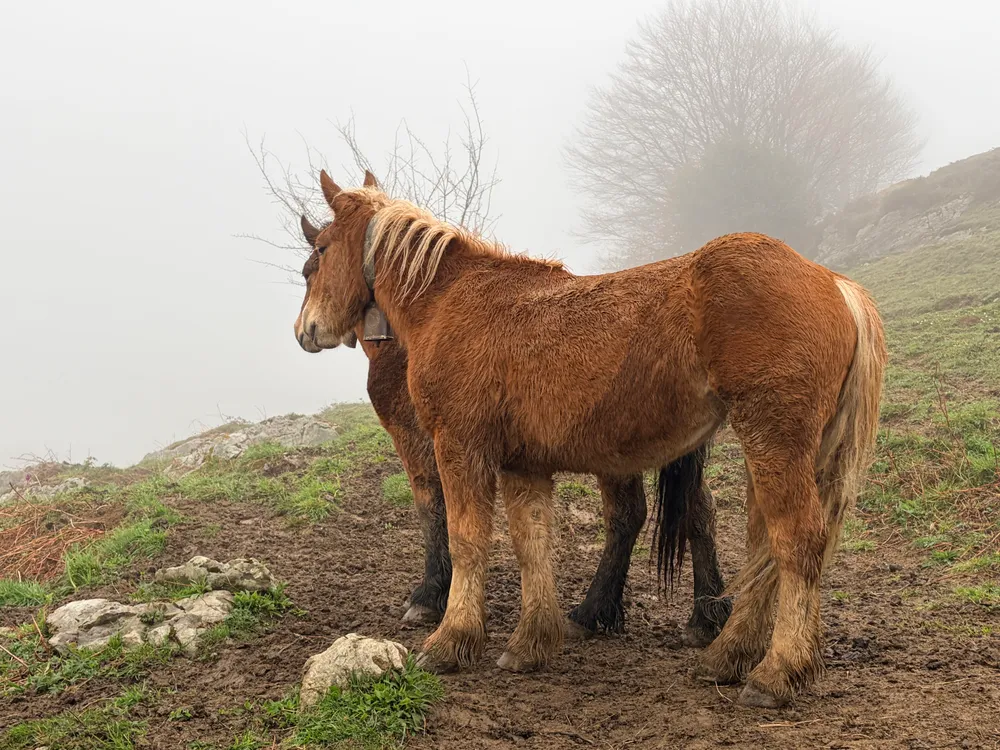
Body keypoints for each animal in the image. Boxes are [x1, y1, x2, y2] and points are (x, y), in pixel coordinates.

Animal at [300, 201, 731, 645]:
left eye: (312, 265)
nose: (305, 331)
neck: (434, 312)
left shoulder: (424, 442)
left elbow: (436, 510)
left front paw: (432, 597)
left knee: (628, 516)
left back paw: (595, 611)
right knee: (697, 509)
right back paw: (703, 615)